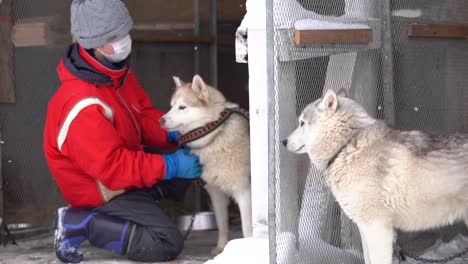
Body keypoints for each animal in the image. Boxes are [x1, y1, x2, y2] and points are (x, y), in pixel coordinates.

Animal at [160, 75, 252, 256]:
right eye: (171, 106)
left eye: (182, 107)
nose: (161, 120)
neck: (214, 135)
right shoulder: (216, 194)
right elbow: (222, 225)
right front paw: (221, 248)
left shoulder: (244, 192)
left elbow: (247, 229)